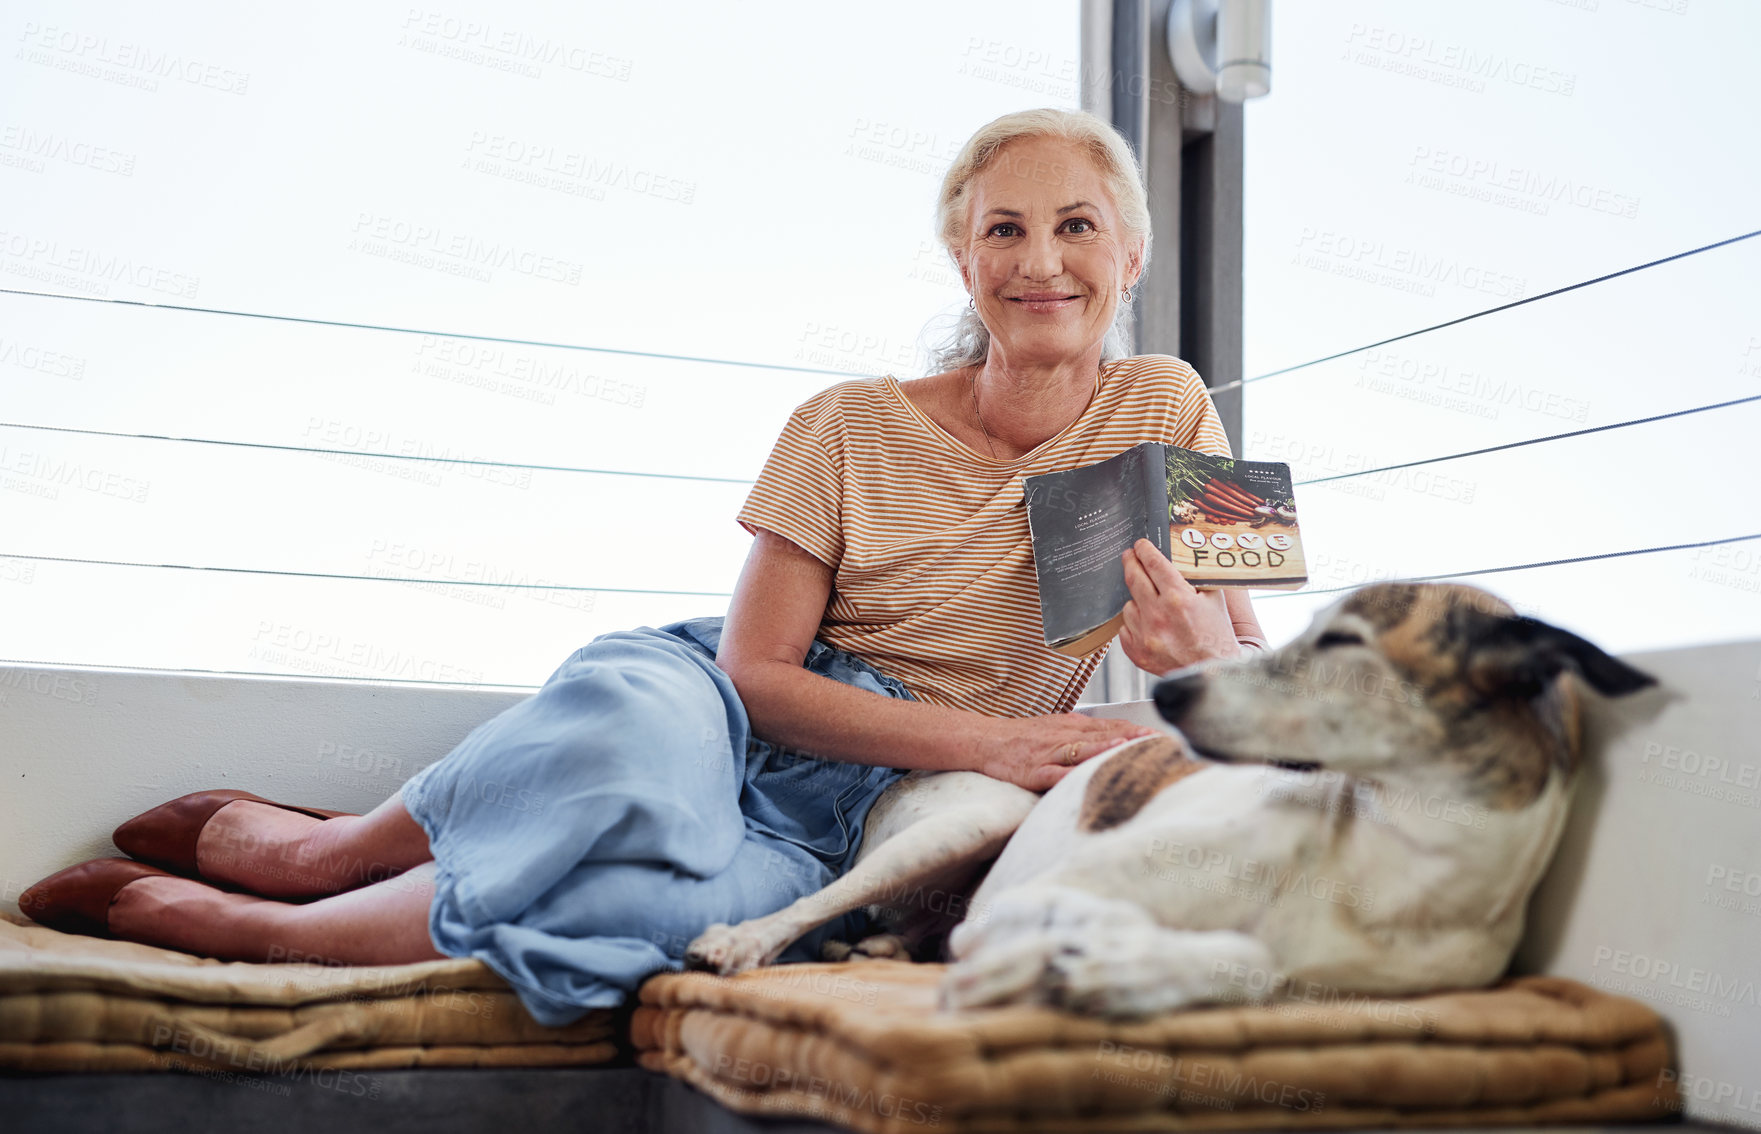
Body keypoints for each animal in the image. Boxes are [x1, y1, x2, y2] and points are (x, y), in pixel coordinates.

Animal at [683, 581, 1648, 1014]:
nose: (1172, 693)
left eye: (1341, 641)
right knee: (814, 907)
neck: (1378, 868)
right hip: (972, 822)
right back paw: (739, 942)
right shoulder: (1036, 895)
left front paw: (1128, 965)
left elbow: (1251, 961)